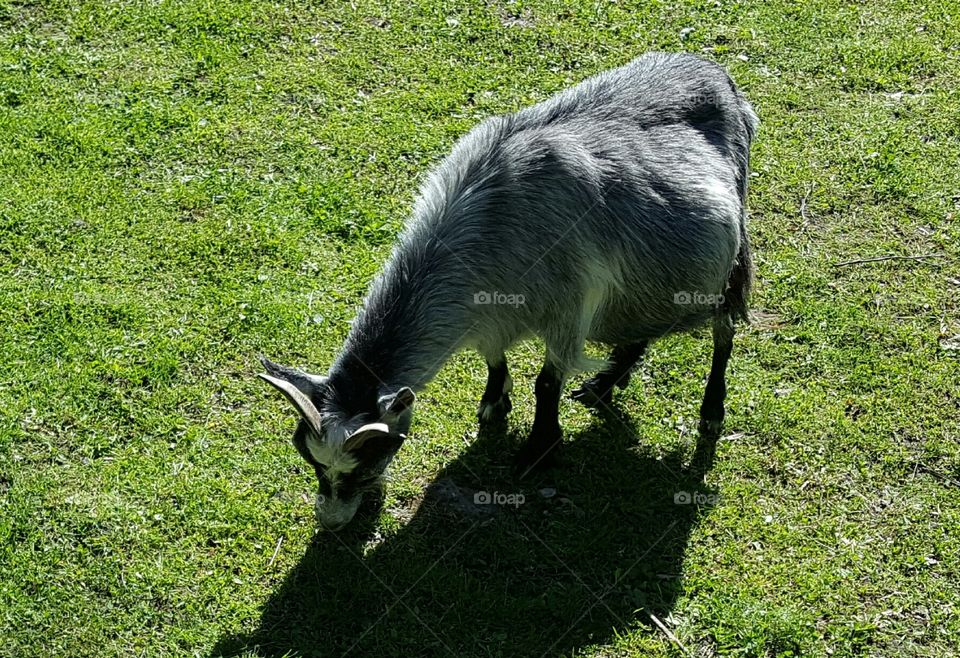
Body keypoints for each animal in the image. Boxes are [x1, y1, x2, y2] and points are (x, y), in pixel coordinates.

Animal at [259, 52, 758, 530]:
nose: (331, 522)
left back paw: (711, 410)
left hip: (725, 261)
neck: (492, 221)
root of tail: (718, 73)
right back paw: (604, 384)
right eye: (314, 463)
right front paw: (494, 403)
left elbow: (547, 383)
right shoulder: (491, 312)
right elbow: (493, 359)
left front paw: (540, 448)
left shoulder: (568, 308)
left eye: (364, 465)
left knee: (724, 330)